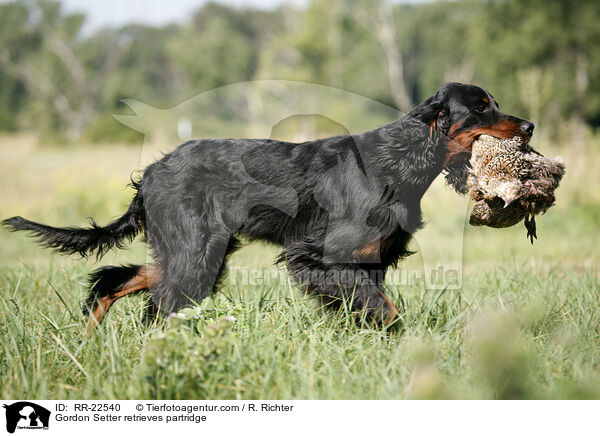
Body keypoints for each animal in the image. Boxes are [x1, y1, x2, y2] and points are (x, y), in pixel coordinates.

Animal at [0, 82, 536, 328]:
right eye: (482, 107)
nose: (529, 126)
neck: (399, 159)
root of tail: (152, 171)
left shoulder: (370, 259)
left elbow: (373, 304)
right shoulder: (321, 256)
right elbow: (384, 309)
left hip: (192, 251)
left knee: (121, 281)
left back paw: (94, 338)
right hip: (195, 251)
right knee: (161, 301)